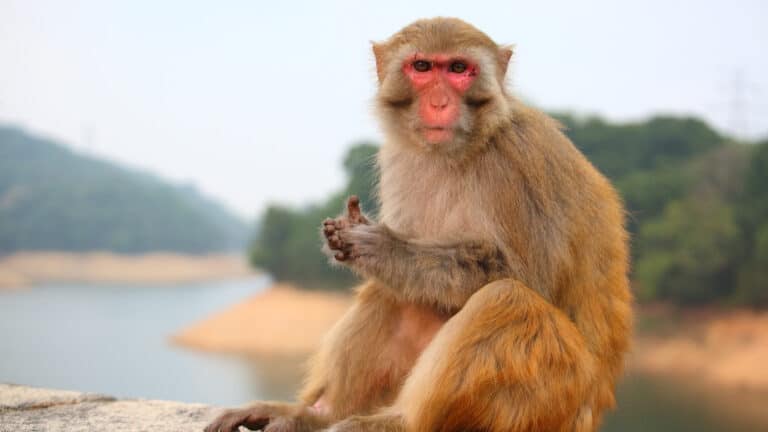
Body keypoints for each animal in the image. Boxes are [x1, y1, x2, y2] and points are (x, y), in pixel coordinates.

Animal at [206, 17, 631, 432]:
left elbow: (528, 278)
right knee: (393, 290)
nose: (439, 102)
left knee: (507, 298)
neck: (462, 148)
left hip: (552, 399)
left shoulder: (518, 162)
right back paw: (318, 415)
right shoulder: (398, 156)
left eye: (459, 69)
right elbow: (413, 282)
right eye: (422, 67)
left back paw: (399, 421)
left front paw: (382, 246)